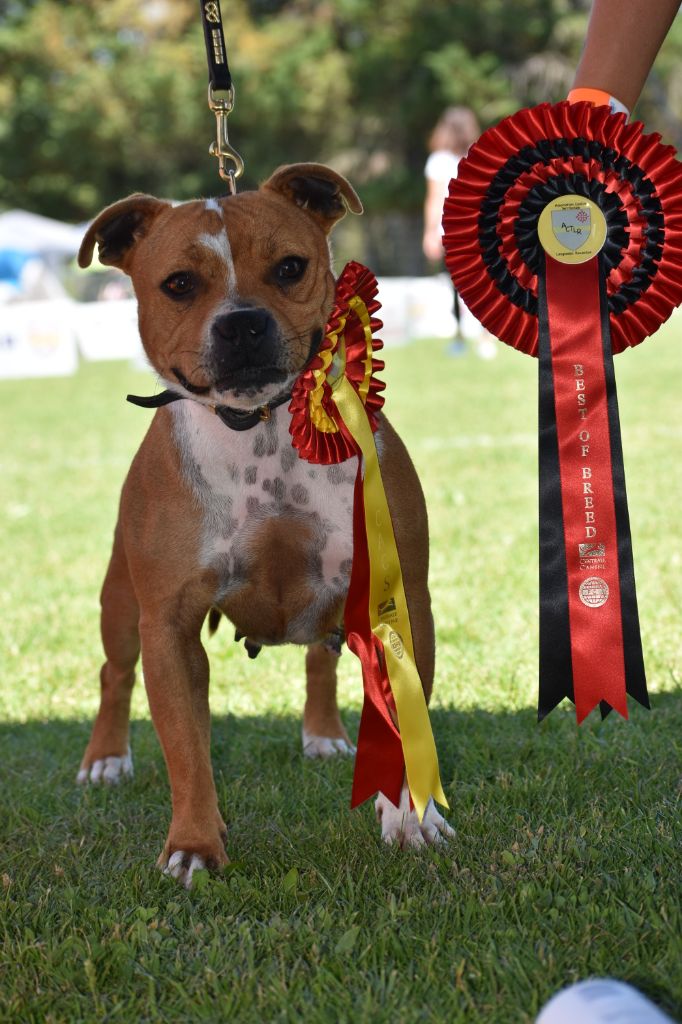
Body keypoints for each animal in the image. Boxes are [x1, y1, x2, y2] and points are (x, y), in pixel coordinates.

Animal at [75, 163, 450, 884]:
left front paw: (409, 817)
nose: (243, 324)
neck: (263, 429)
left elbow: (400, 719)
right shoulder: (168, 625)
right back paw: (105, 759)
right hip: (121, 600)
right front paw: (195, 843)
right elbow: (187, 750)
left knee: (320, 664)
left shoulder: (397, 601)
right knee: (114, 674)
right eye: (179, 284)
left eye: (289, 267)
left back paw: (325, 736)